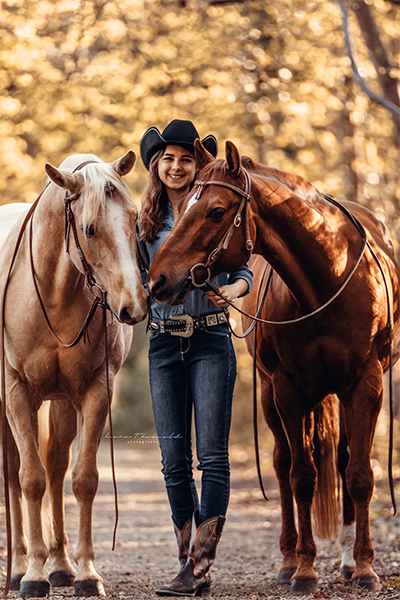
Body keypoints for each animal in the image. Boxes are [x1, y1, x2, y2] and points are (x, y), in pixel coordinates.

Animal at [0, 151, 148, 596]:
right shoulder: (18, 393)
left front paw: (85, 574)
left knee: (56, 467)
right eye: (89, 229)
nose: (134, 306)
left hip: (62, 403)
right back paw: (18, 569)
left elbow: (82, 479)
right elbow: (29, 479)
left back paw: (62, 566)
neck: (52, 292)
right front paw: (33, 576)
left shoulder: (95, 391)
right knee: (14, 473)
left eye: (135, 219)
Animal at [146, 141, 400, 596]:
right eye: (185, 204)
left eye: (215, 211)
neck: (328, 281)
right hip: (271, 395)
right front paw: (304, 570)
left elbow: (358, 474)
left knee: (341, 461)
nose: (157, 279)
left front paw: (366, 568)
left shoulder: (366, 385)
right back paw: (288, 560)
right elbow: (301, 476)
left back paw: (348, 560)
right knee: (283, 467)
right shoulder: (287, 389)